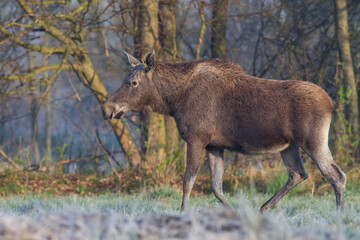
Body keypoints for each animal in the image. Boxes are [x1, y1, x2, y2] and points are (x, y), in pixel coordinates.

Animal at [103, 50, 346, 212]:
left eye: (133, 82)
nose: (108, 108)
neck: (174, 102)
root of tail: (331, 103)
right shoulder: (214, 145)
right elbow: (216, 186)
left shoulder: (196, 139)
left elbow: (188, 181)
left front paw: (182, 212)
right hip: (289, 146)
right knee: (298, 173)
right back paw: (264, 208)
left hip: (314, 141)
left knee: (336, 176)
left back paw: (339, 214)